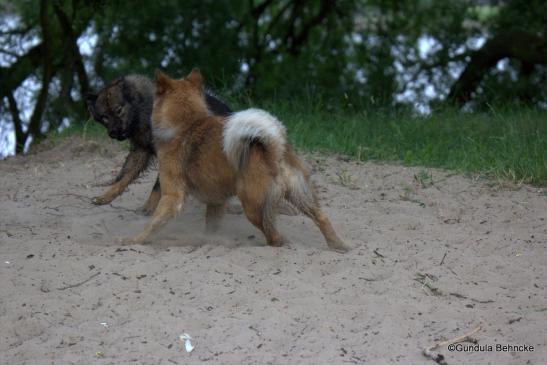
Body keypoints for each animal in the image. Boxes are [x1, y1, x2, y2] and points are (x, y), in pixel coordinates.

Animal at [85, 74, 231, 213]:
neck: (143, 112)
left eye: (119, 110)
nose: (113, 133)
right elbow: (123, 178)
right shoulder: (141, 150)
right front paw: (105, 196)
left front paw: (149, 206)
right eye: (104, 117)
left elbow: (157, 186)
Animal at [122, 68, 348, 252]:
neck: (187, 124)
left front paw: (134, 240)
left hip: (254, 207)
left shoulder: (171, 197)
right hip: (300, 196)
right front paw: (207, 241)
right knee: (321, 218)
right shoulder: (216, 202)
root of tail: (273, 150)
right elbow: (211, 227)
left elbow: (153, 223)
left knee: (275, 237)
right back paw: (338, 245)